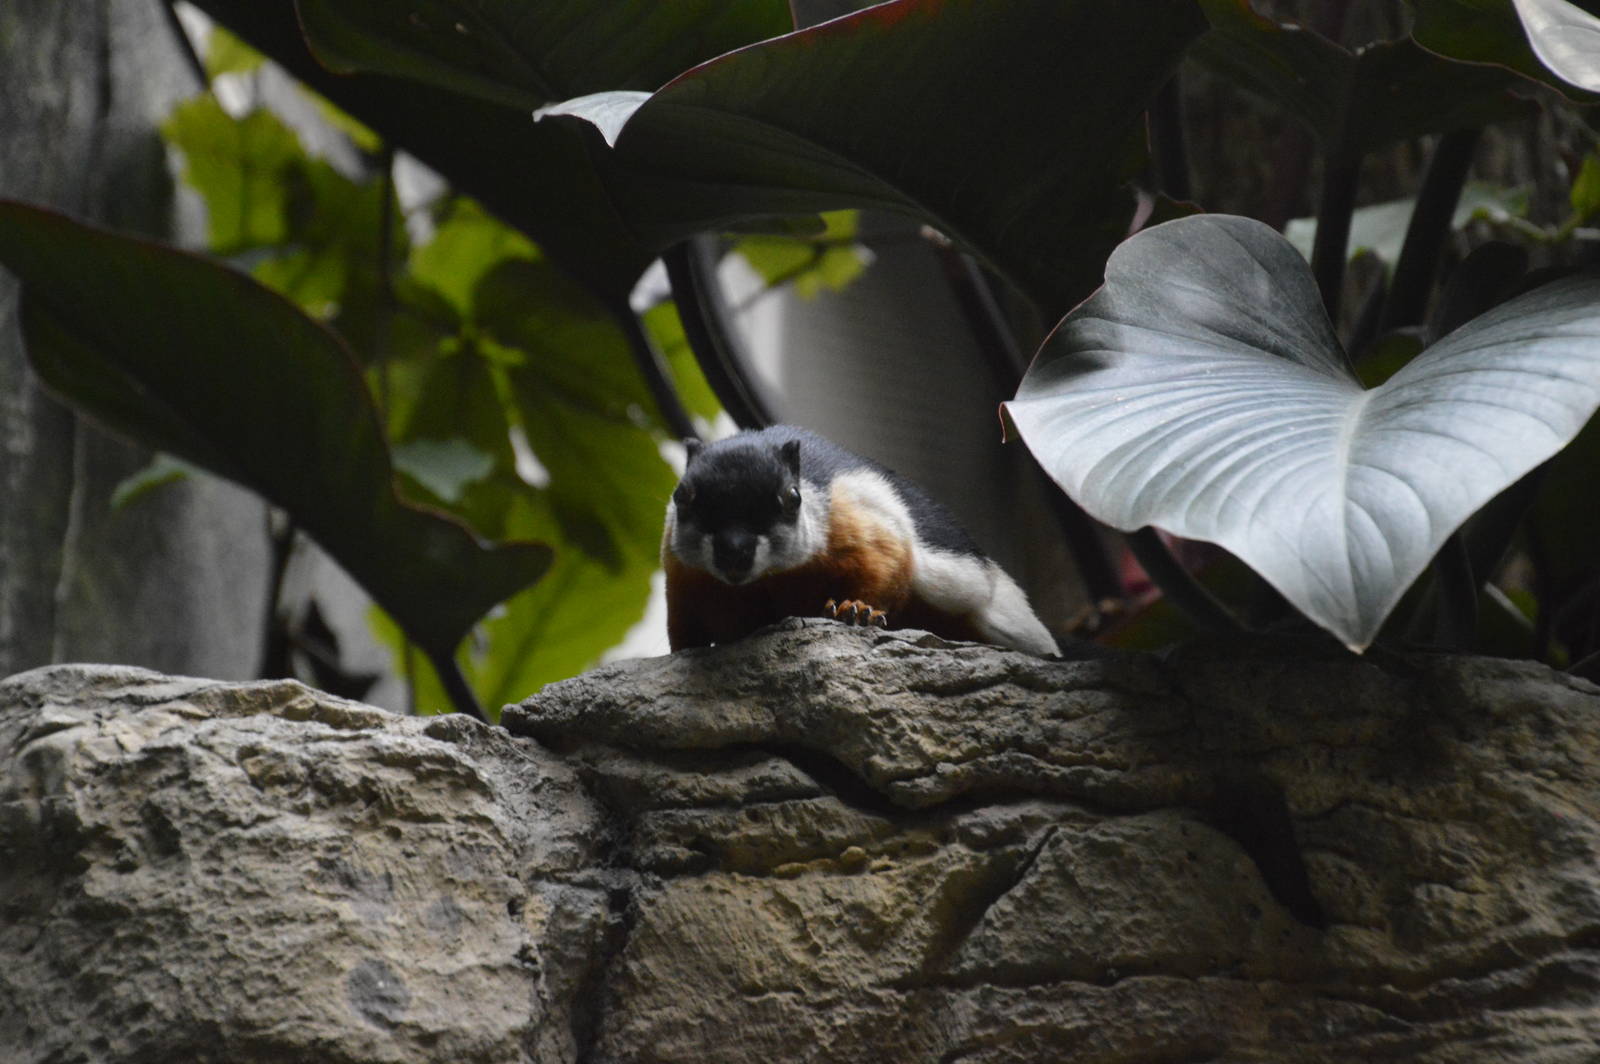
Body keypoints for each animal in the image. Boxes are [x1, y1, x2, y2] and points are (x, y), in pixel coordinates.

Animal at [661, 425, 1059, 656]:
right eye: (681, 495)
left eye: (792, 498)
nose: (734, 553)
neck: (769, 578)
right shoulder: (681, 579)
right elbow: (682, 630)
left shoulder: (872, 529)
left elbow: (886, 575)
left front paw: (856, 610)